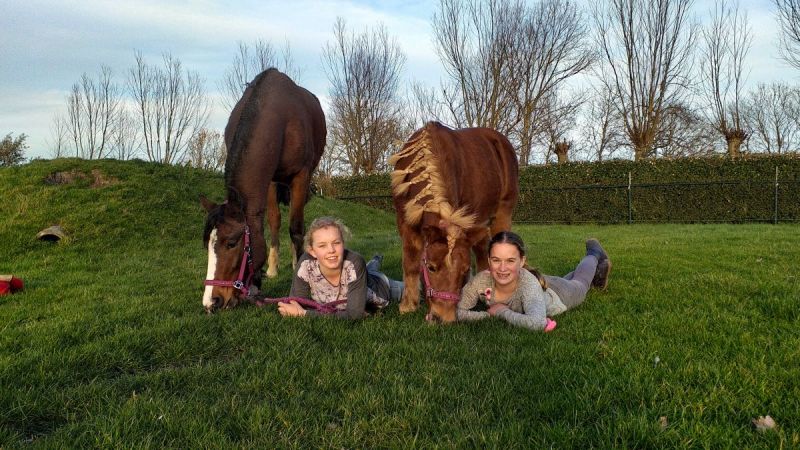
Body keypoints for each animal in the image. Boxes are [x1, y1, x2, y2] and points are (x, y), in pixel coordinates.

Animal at [200, 68, 324, 312]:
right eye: (206, 244)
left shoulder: (301, 176)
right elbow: (268, 222)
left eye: (231, 243)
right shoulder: (267, 181)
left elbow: (296, 228)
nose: (211, 302)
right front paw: (258, 281)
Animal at [390, 121, 520, 322]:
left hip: (502, 212)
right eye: (431, 267)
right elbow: (410, 263)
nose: (444, 318)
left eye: (465, 270)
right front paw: (408, 306)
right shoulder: (405, 222)